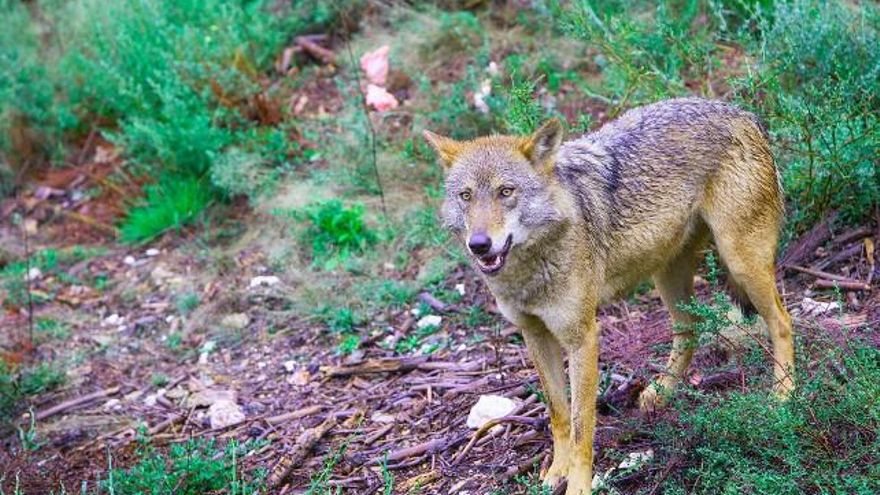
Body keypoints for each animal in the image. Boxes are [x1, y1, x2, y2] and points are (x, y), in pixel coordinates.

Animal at [423, 98, 795, 495]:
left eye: (505, 192)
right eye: (465, 196)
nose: (479, 244)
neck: (530, 270)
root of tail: (742, 112)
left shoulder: (582, 338)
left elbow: (581, 425)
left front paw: (578, 485)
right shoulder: (534, 335)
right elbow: (557, 413)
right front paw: (556, 472)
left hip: (741, 263)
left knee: (782, 322)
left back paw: (783, 395)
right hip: (668, 276)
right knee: (689, 329)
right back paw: (662, 392)